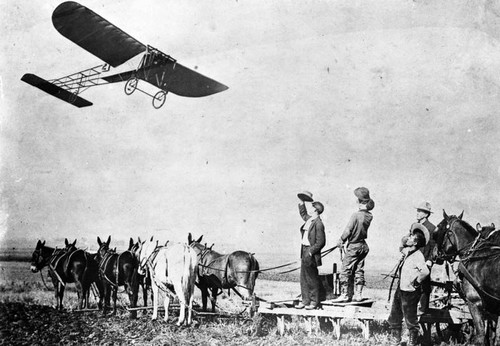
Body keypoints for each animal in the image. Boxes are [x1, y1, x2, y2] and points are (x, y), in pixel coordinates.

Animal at [434, 209, 500, 344]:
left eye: (438, 228)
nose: (434, 254)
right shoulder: (493, 309)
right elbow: (492, 337)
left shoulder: (474, 302)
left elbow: (480, 336)